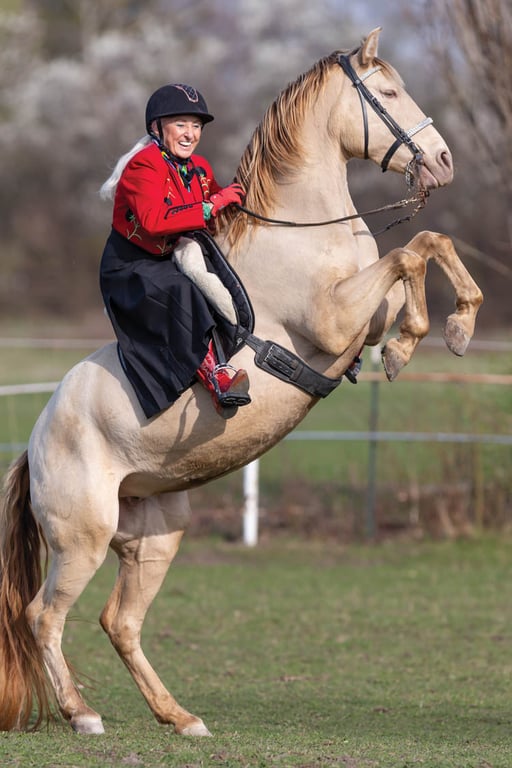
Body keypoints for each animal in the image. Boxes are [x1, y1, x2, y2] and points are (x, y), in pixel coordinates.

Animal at [0, 28, 482, 736]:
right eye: (390, 93)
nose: (444, 161)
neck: (305, 232)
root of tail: (32, 445)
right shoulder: (336, 322)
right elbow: (410, 250)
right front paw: (425, 336)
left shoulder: (361, 318)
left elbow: (427, 246)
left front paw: (438, 331)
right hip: (81, 539)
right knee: (44, 616)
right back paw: (83, 714)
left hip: (155, 531)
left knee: (120, 622)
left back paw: (180, 718)